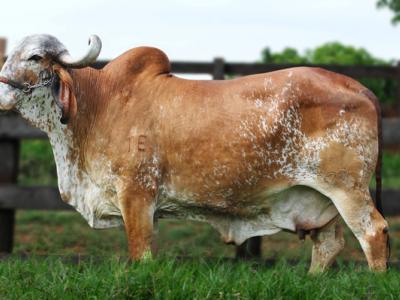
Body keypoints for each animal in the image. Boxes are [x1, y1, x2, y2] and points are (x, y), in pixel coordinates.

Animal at [0, 34, 388, 272]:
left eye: (34, 57)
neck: (98, 104)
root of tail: (359, 87)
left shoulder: (137, 194)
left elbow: (140, 253)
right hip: (321, 198)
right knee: (328, 245)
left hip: (347, 189)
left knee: (373, 232)